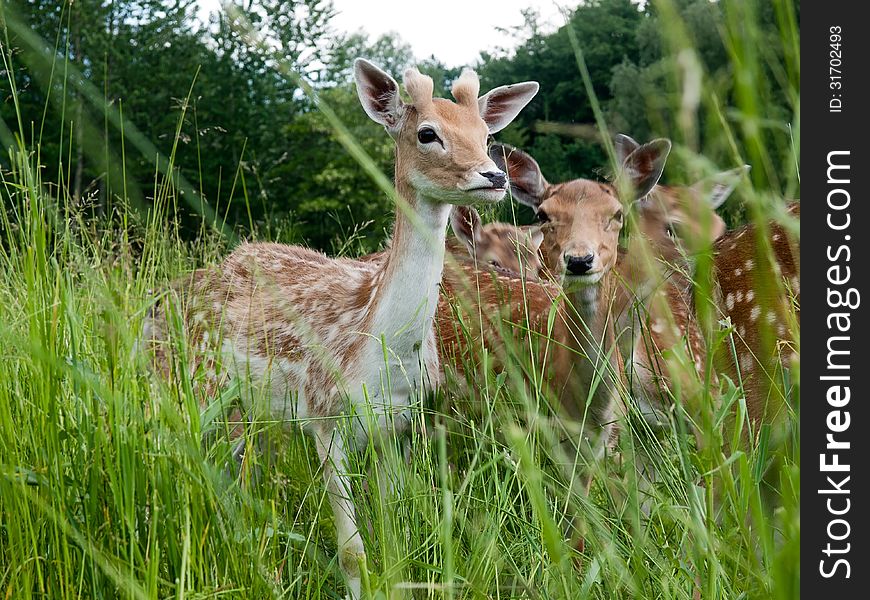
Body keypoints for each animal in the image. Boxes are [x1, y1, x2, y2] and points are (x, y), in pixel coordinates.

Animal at [143, 58, 540, 596]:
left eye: (485, 135)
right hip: (190, 381)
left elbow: (393, 535)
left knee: (243, 478)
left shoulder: (401, 425)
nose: (494, 176)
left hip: (255, 413)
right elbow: (352, 550)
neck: (382, 352)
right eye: (427, 133)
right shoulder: (324, 414)